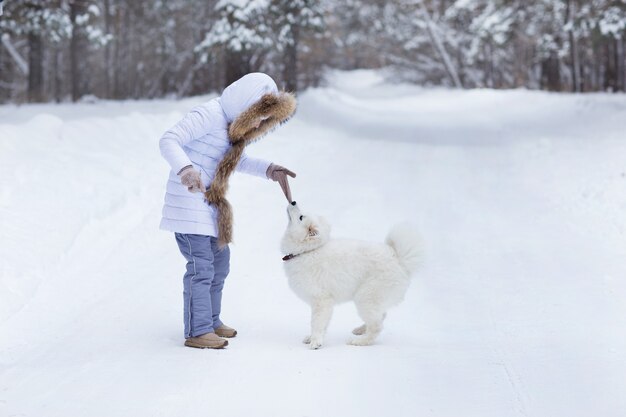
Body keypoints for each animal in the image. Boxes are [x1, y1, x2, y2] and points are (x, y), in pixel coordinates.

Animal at [280, 202, 420, 348]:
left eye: (301, 217)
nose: (293, 202)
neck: (306, 251)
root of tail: (399, 260)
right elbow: (323, 324)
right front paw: (312, 338)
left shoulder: (321, 300)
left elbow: (317, 323)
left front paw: (315, 342)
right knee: (381, 316)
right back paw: (360, 330)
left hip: (365, 297)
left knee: (377, 326)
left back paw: (359, 341)